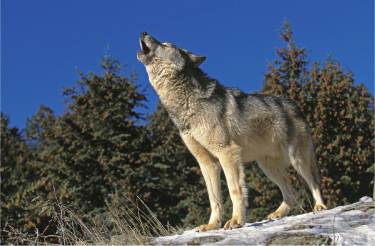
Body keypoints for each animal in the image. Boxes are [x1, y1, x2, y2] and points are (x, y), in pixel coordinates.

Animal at [137, 31, 328, 232]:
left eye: (166, 45)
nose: (143, 32)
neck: (185, 105)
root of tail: (295, 105)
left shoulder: (227, 152)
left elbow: (235, 190)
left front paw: (237, 220)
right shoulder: (207, 163)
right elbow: (214, 199)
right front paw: (213, 225)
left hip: (296, 159)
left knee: (314, 182)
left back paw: (319, 206)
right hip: (267, 167)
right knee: (293, 193)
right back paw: (277, 214)